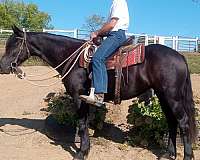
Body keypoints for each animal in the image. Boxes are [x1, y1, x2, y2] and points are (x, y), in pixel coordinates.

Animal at [0, 25, 197, 159]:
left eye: (14, 45)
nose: (3, 67)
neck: (71, 56)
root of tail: (179, 56)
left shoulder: (78, 97)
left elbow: (81, 124)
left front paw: (81, 153)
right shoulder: (85, 100)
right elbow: (86, 123)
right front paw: (85, 149)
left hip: (172, 97)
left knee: (183, 122)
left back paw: (187, 155)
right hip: (163, 96)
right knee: (171, 122)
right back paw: (168, 154)